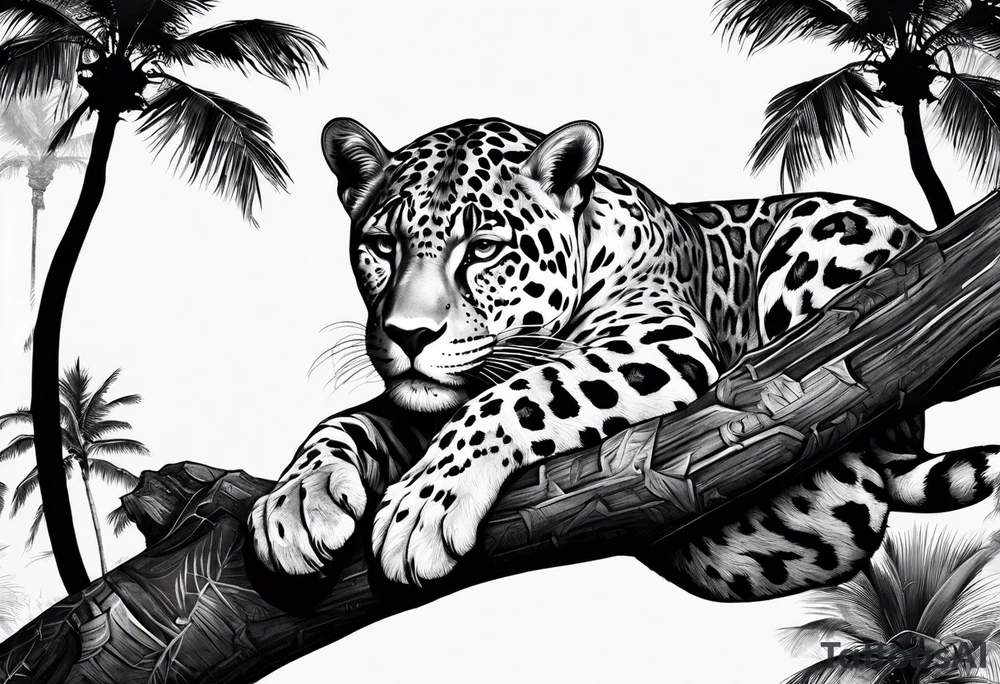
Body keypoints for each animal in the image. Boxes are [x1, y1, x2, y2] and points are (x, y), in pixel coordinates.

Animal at [249, 117, 1000, 601]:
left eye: (484, 248)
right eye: (382, 244)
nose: (408, 336)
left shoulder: (658, 344)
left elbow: (524, 391)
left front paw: (422, 509)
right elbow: (348, 422)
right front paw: (295, 503)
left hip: (822, 246)